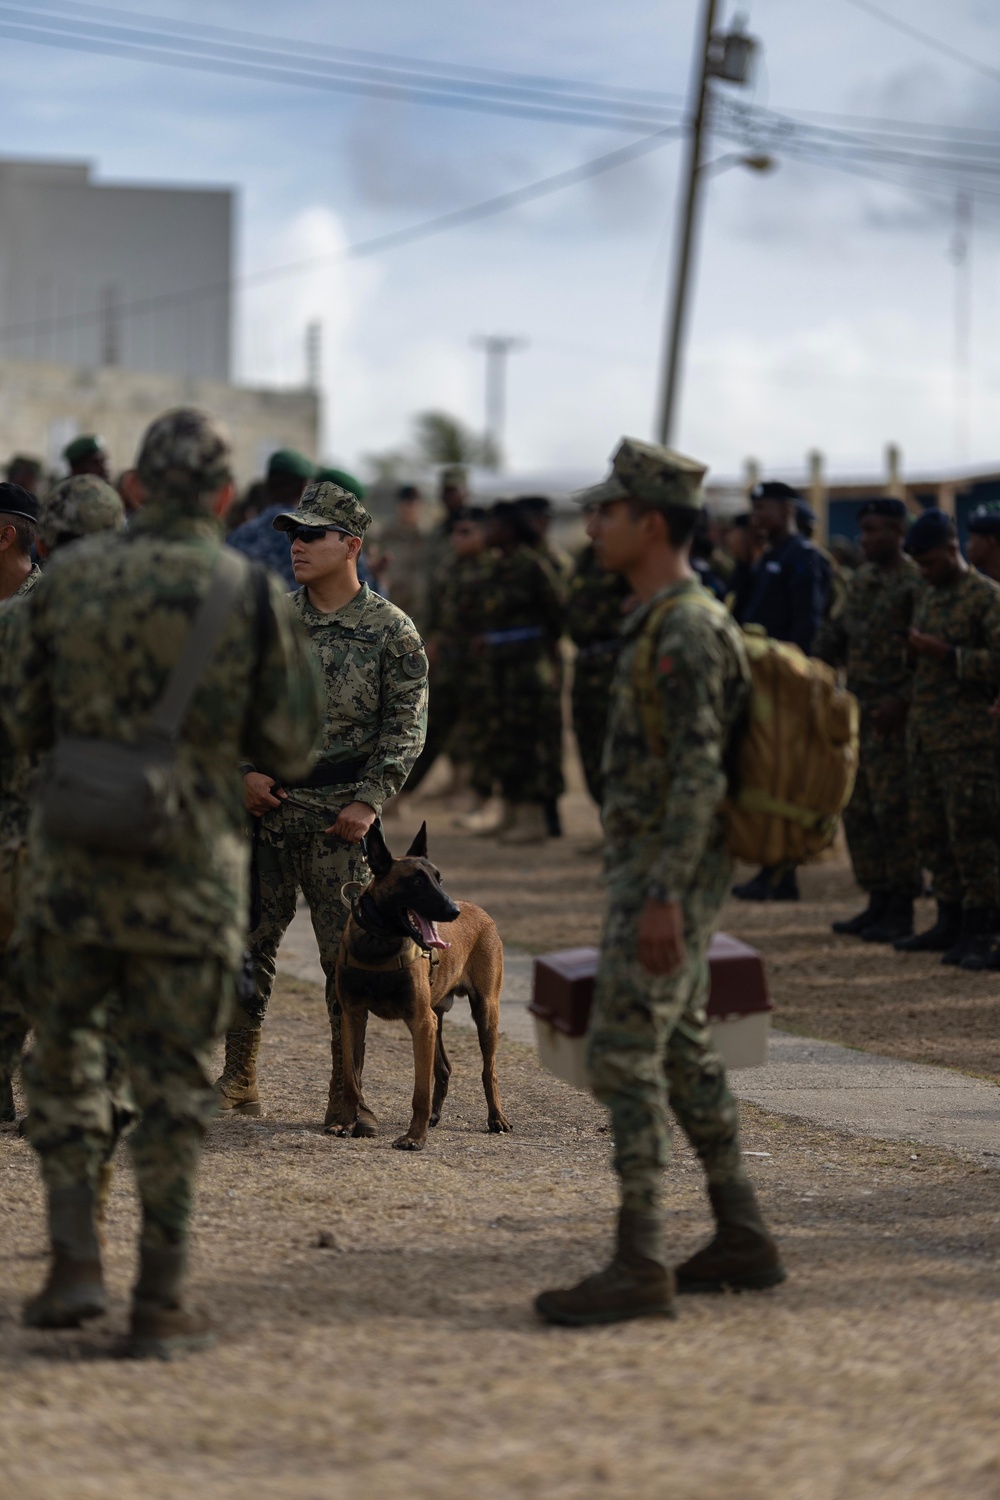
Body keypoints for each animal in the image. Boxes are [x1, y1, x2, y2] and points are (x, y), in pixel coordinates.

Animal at [332, 828, 512, 1152]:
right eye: (416, 881)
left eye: (439, 879)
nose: (453, 910)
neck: (380, 943)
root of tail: (479, 909)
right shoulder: (352, 1015)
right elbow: (352, 1078)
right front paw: (345, 1123)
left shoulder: (420, 1020)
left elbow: (420, 1092)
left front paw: (414, 1137)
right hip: (436, 1017)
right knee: (444, 1068)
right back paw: (436, 1116)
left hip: (484, 1011)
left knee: (488, 1069)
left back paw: (497, 1118)